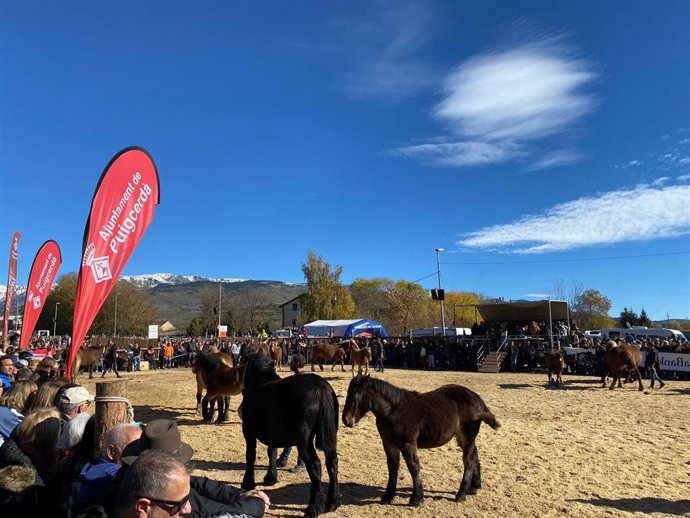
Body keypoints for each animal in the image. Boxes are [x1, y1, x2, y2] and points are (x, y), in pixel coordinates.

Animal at [240, 353, 340, 517]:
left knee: (315, 465)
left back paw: (313, 508)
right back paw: (332, 503)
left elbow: (250, 455)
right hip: (330, 438)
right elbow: (272, 452)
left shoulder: (249, 432)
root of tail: (321, 387)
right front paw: (271, 478)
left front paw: (247, 483)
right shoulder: (272, 433)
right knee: (332, 462)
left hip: (304, 441)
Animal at [342, 375, 499, 506]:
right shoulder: (389, 444)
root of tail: (478, 399)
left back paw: (461, 494)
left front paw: (416, 498)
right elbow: (393, 468)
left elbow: (414, 467)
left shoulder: (408, 444)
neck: (394, 411)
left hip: (467, 436)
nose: (346, 420)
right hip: (462, 437)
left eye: (355, 395)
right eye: (347, 393)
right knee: (474, 456)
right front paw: (387, 496)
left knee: (468, 461)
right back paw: (474, 487)